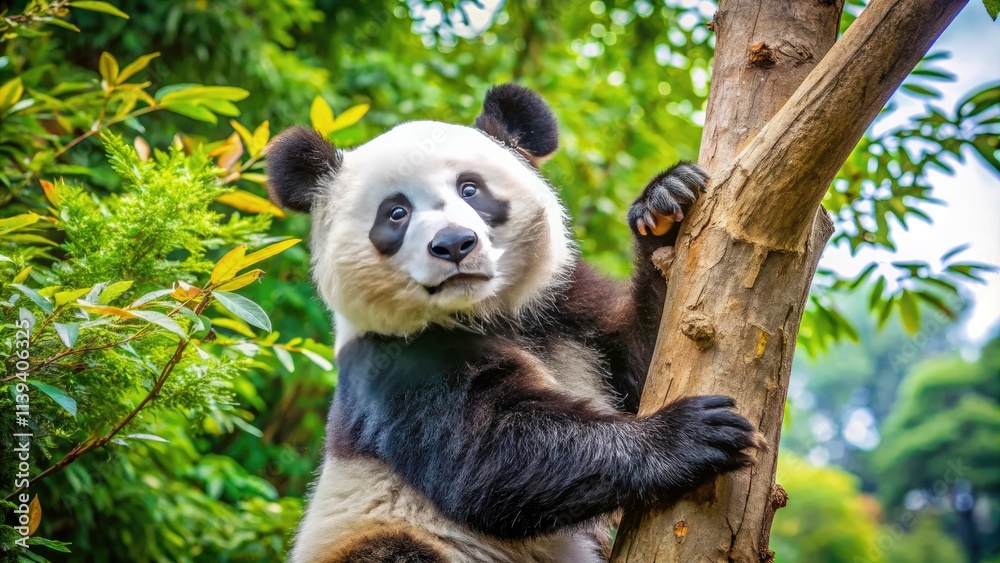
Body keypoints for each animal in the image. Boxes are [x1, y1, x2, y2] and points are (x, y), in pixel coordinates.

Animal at [265, 84, 758, 563]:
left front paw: (666, 205)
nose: (453, 244)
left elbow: (646, 365)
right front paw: (692, 433)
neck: (485, 313)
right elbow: (490, 456)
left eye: (470, 189)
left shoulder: (566, 310)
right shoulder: (395, 364)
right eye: (396, 213)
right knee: (394, 552)